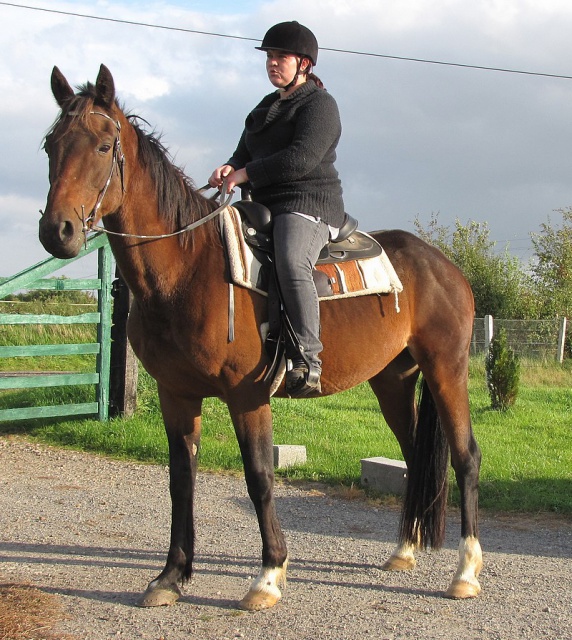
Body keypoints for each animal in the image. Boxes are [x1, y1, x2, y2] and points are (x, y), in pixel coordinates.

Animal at [38, 66, 480, 608]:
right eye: (51, 145)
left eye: (103, 145)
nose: (56, 231)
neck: (189, 266)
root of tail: (445, 266)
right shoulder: (176, 393)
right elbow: (180, 481)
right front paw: (170, 577)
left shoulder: (247, 395)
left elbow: (260, 478)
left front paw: (268, 576)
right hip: (393, 381)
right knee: (416, 456)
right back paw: (404, 551)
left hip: (446, 370)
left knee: (466, 457)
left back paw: (465, 572)